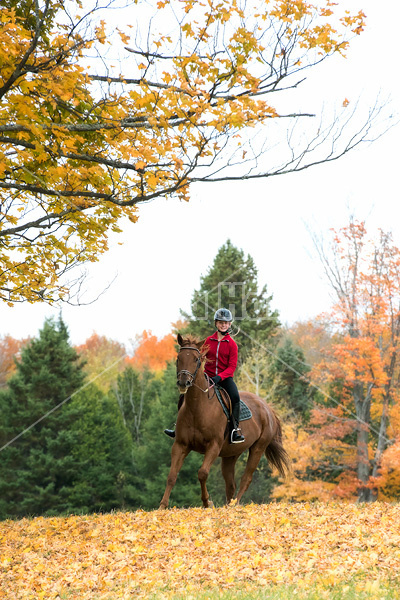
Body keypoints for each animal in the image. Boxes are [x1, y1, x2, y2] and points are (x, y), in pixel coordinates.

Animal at [159, 336, 290, 508]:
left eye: (196, 359)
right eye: (178, 358)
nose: (183, 382)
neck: (197, 407)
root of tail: (267, 408)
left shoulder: (213, 446)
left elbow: (202, 473)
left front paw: (207, 502)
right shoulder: (180, 445)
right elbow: (172, 475)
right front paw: (162, 506)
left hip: (258, 448)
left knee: (246, 479)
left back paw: (234, 504)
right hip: (230, 455)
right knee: (231, 484)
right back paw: (228, 505)